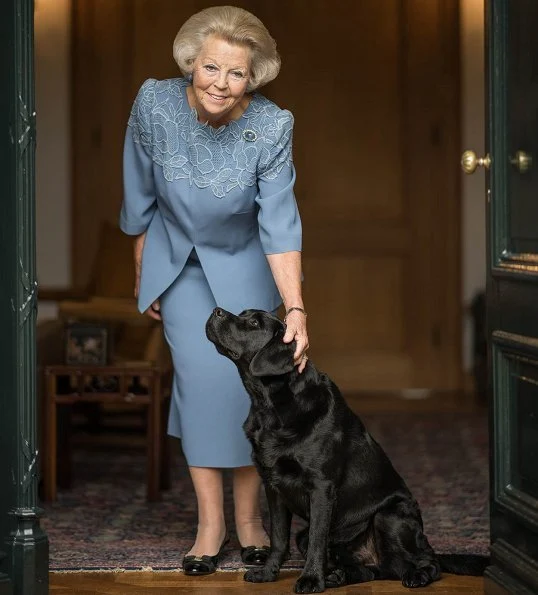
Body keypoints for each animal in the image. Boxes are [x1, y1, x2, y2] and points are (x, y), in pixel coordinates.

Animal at [204, 310, 486, 592]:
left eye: (253, 323)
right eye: (243, 315)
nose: (216, 311)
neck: (271, 404)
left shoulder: (321, 487)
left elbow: (318, 540)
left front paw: (310, 580)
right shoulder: (273, 487)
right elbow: (278, 538)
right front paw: (267, 573)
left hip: (390, 516)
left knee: (426, 562)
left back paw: (416, 576)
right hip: (312, 537)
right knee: (372, 570)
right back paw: (338, 576)